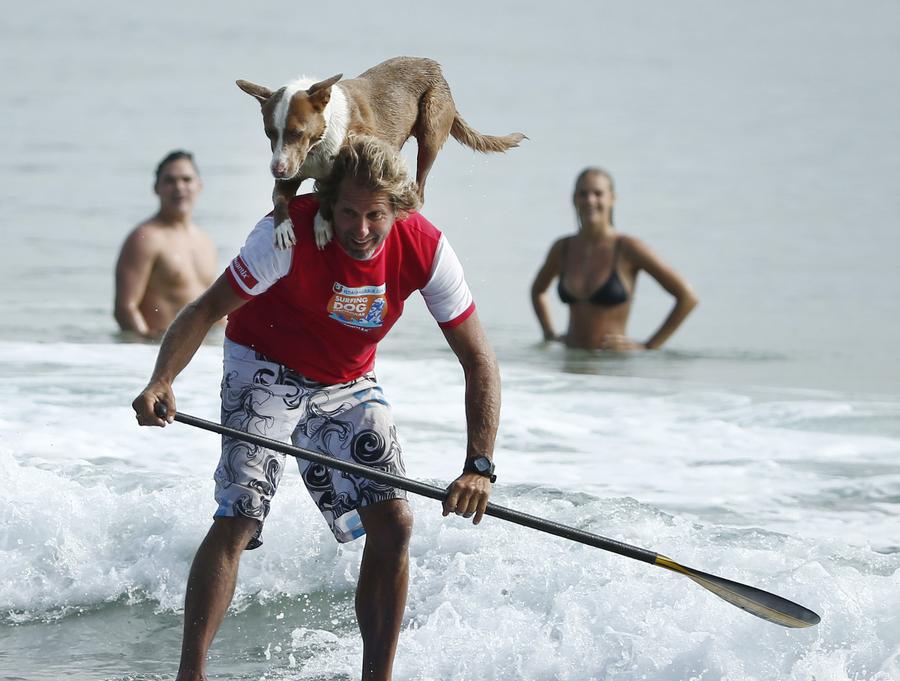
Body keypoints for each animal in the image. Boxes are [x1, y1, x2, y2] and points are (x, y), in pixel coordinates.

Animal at [239, 55, 524, 247]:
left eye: (297, 132)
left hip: (431, 127)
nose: (277, 169)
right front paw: (282, 228)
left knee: (420, 188)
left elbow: (328, 194)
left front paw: (321, 223)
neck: (317, 145)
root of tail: (435, 68)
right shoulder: (293, 166)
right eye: (269, 133)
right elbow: (279, 197)